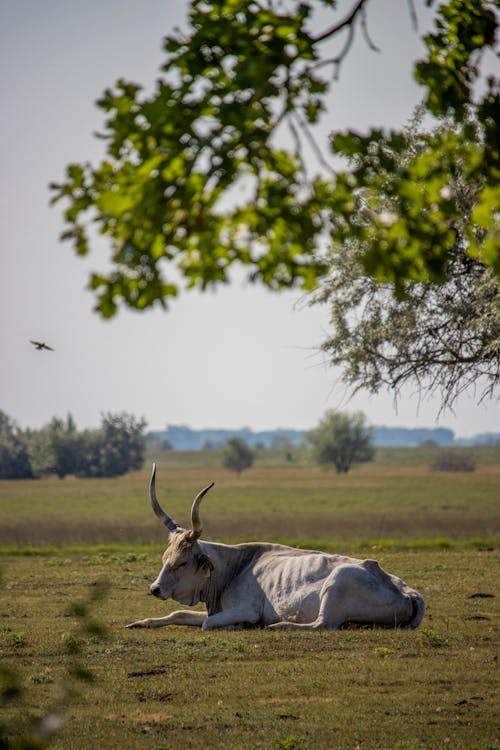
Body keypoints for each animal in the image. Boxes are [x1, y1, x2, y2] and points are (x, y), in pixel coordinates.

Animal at [126, 464, 426, 636]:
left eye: (181, 562)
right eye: (165, 558)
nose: (154, 589)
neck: (233, 569)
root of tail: (407, 590)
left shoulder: (244, 609)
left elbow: (206, 625)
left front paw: (239, 626)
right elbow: (178, 615)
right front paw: (138, 623)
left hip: (338, 582)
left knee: (322, 625)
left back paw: (279, 625)